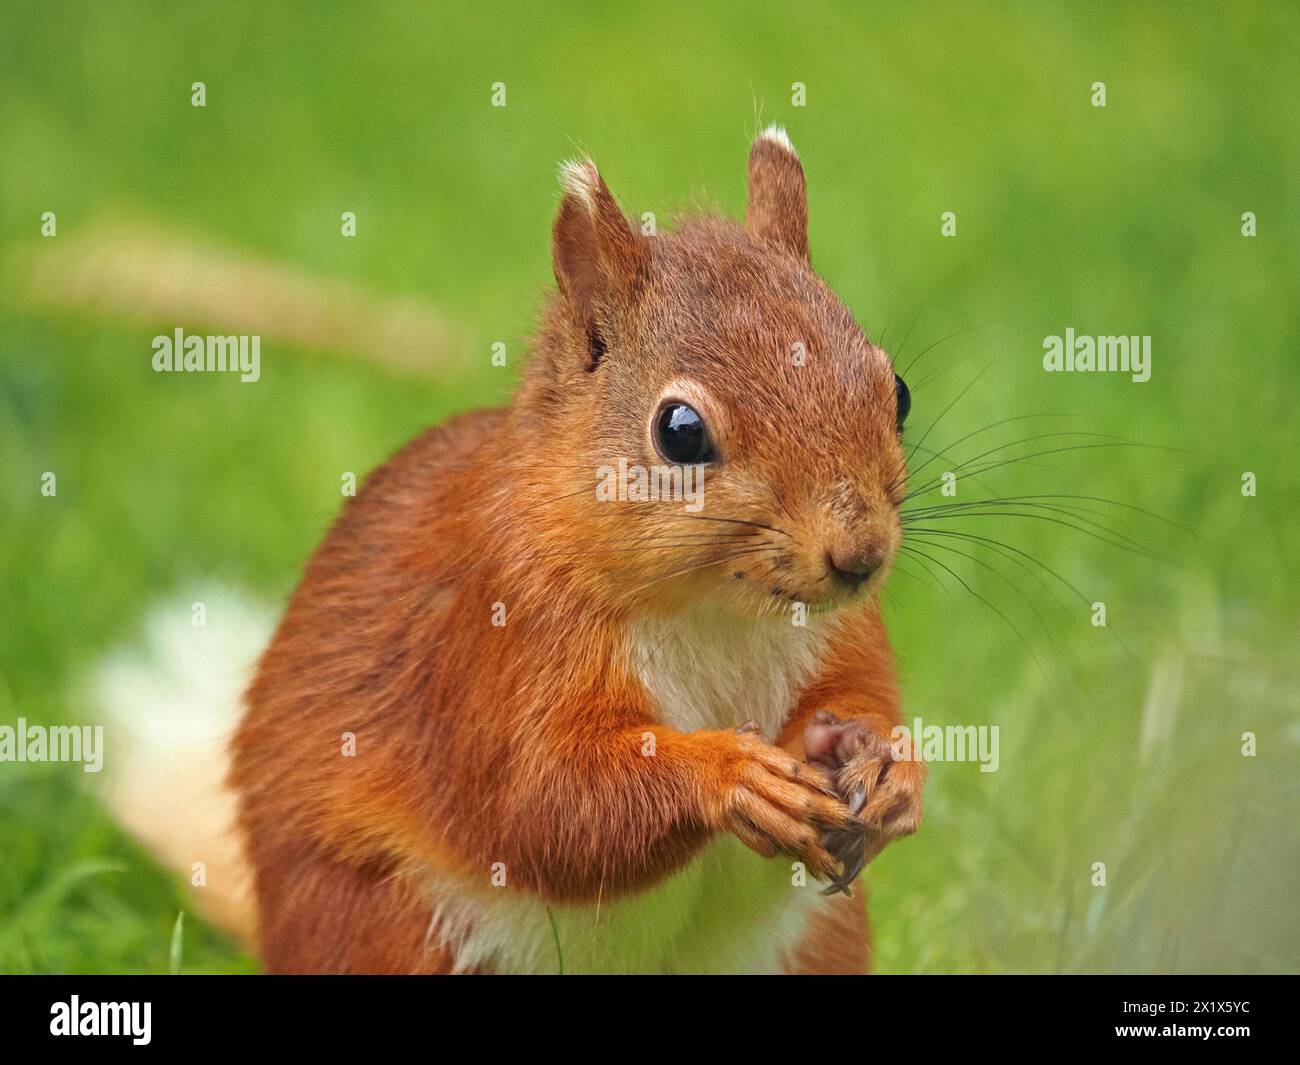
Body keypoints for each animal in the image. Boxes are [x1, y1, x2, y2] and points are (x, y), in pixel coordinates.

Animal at [228, 126, 925, 974]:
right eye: (680, 431)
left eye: (896, 390)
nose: (860, 555)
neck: (717, 607)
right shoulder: (499, 640)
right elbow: (546, 805)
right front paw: (732, 773)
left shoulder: (845, 634)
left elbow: (864, 697)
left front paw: (891, 766)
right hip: (382, 926)